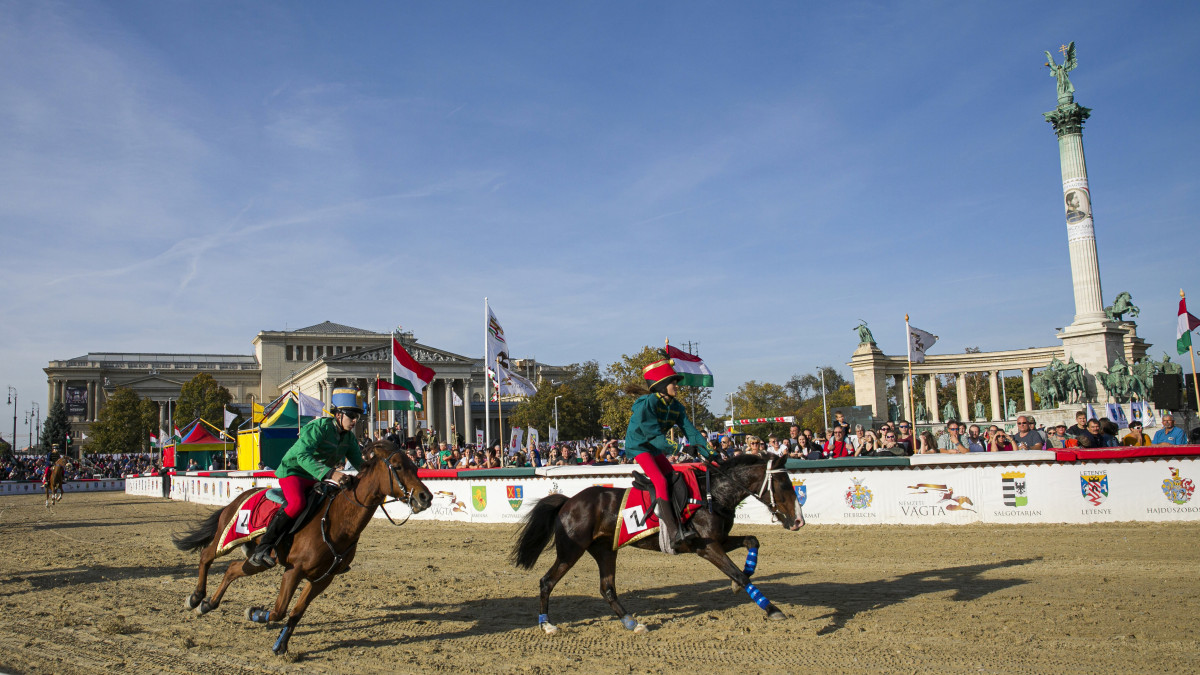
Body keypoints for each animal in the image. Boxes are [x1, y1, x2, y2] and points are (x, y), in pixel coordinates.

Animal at [169, 437, 432, 653]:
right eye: (397, 466)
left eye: (414, 466)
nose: (425, 497)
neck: (335, 521)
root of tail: (239, 497)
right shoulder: (293, 570)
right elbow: (278, 610)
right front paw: (255, 612)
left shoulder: (322, 578)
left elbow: (296, 612)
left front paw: (281, 645)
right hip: (228, 536)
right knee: (206, 556)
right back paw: (196, 598)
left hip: (261, 560)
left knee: (233, 569)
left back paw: (209, 604)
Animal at [511, 451, 801, 629]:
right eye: (784, 485)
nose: (799, 521)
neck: (712, 494)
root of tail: (568, 501)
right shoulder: (706, 547)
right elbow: (739, 573)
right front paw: (771, 608)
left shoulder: (719, 539)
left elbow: (752, 541)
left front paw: (737, 584)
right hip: (571, 550)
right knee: (547, 581)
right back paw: (547, 624)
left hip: (605, 550)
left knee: (607, 588)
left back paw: (631, 622)